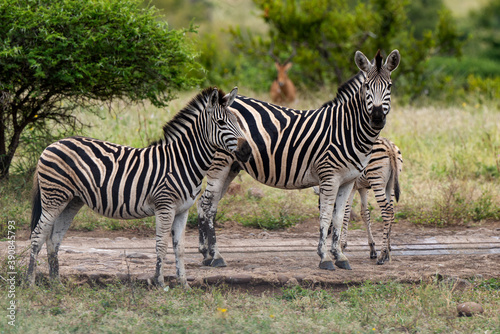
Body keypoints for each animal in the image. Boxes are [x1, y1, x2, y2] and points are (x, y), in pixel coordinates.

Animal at [25, 87, 252, 288]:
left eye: (238, 122)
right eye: (221, 122)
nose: (247, 150)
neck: (183, 161)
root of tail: (52, 145)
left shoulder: (182, 211)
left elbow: (179, 249)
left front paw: (184, 285)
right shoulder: (165, 206)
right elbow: (161, 246)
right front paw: (159, 282)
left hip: (72, 201)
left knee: (53, 239)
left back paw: (56, 283)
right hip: (54, 197)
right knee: (37, 236)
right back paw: (30, 283)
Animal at [197, 49, 400, 270]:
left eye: (390, 86)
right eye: (366, 86)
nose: (377, 118)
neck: (346, 128)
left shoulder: (348, 181)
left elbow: (339, 217)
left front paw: (339, 255)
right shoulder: (329, 177)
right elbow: (326, 216)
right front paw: (325, 257)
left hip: (231, 167)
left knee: (208, 204)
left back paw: (207, 254)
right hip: (219, 164)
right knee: (206, 204)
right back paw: (213, 255)